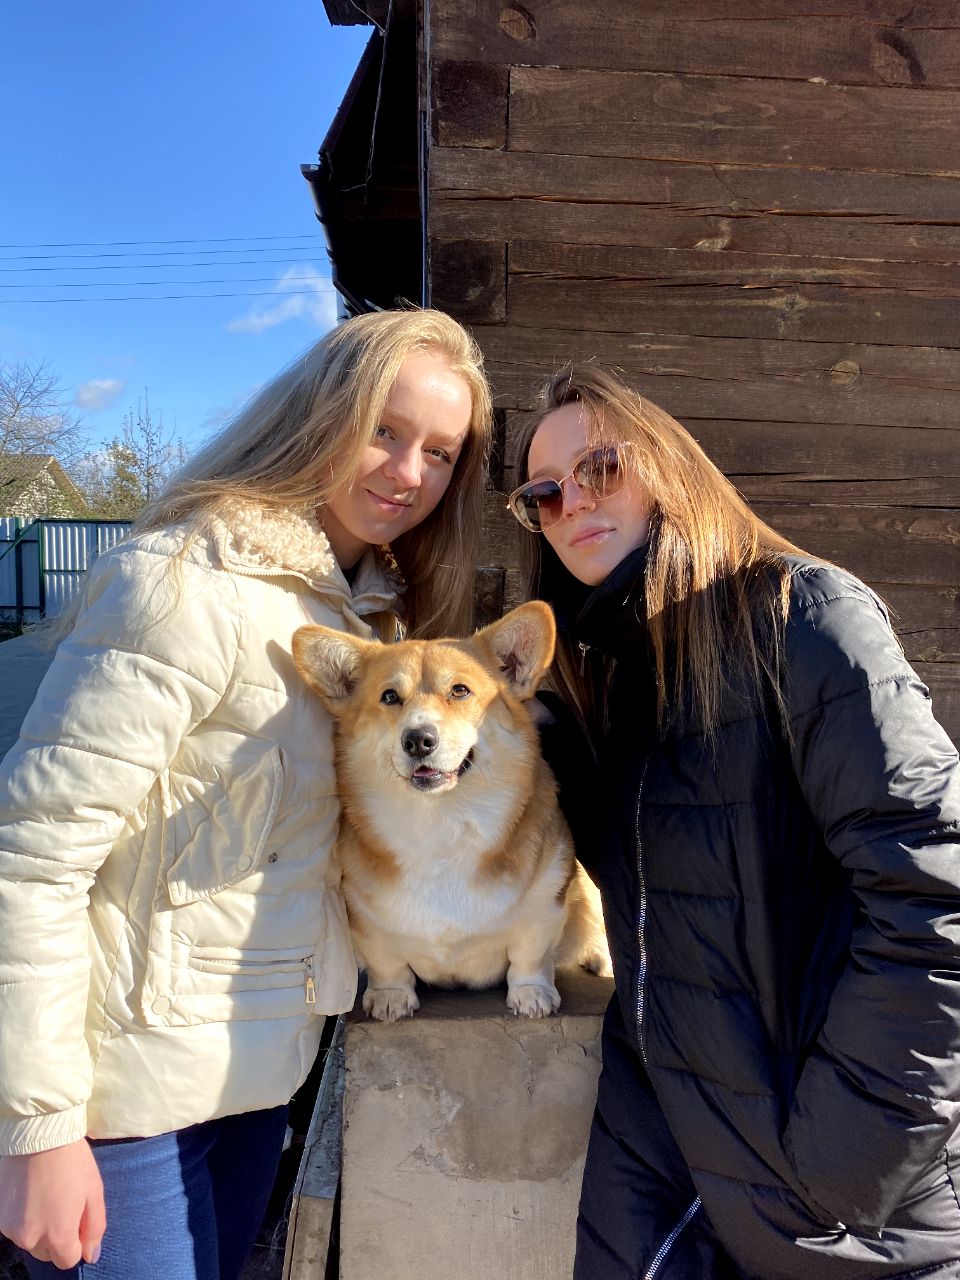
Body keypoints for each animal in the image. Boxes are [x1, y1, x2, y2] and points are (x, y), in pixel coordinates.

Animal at [292, 601, 610, 1021]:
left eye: (460, 690)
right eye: (389, 696)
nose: (419, 740)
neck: (440, 821)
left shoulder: (545, 904)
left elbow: (530, 956)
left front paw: (532, 996)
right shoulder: (365, 921)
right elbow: (386, 963)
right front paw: (391, 998)